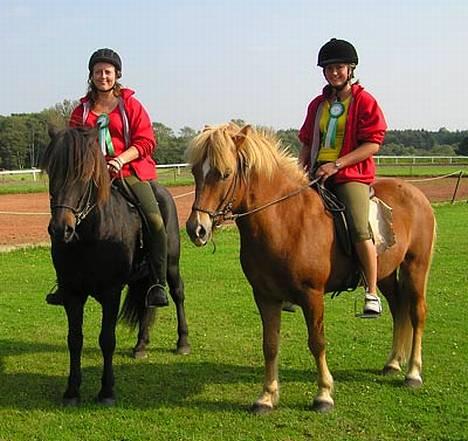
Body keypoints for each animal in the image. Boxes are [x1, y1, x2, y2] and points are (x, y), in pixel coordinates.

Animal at [41, 125, 190, 404]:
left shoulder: (111, 293)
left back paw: (183, 342)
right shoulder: (72, 293)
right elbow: (74, 339)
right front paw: (72, 391)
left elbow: (107, 339)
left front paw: (107, 391)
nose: (61, 228)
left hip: (171, 265)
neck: (90, 235)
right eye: (52, 170)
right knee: (146, 303)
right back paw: (141, 345)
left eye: (85, 174)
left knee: (177, 294)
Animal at [186, 123, 436, 412]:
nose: (196, 229)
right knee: (398, 308)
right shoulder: (265, 296)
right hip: (384, 273)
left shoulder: (312, 295)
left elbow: (317, 342)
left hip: (416, 267)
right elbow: (270, 344)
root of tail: (416, 194)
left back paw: (413, 373)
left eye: (225, 173)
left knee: (417, 313)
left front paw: (324, 394)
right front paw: (266, 396)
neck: (286, 220)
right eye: (195, 172)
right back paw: (393, 362)